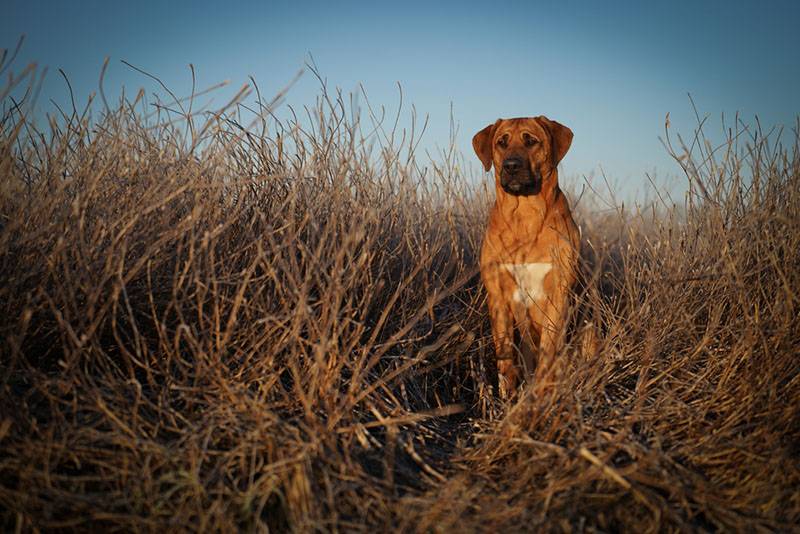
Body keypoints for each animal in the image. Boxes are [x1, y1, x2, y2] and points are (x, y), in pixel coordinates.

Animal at [472, 118, 580, 402]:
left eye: (531, 141)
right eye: (502, 142)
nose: (511, 166)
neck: (525, 217)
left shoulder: (558, 293)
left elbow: (548, 351)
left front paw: (540, 393)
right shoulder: (497, 295)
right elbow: (504, 352)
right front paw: (506, 392)